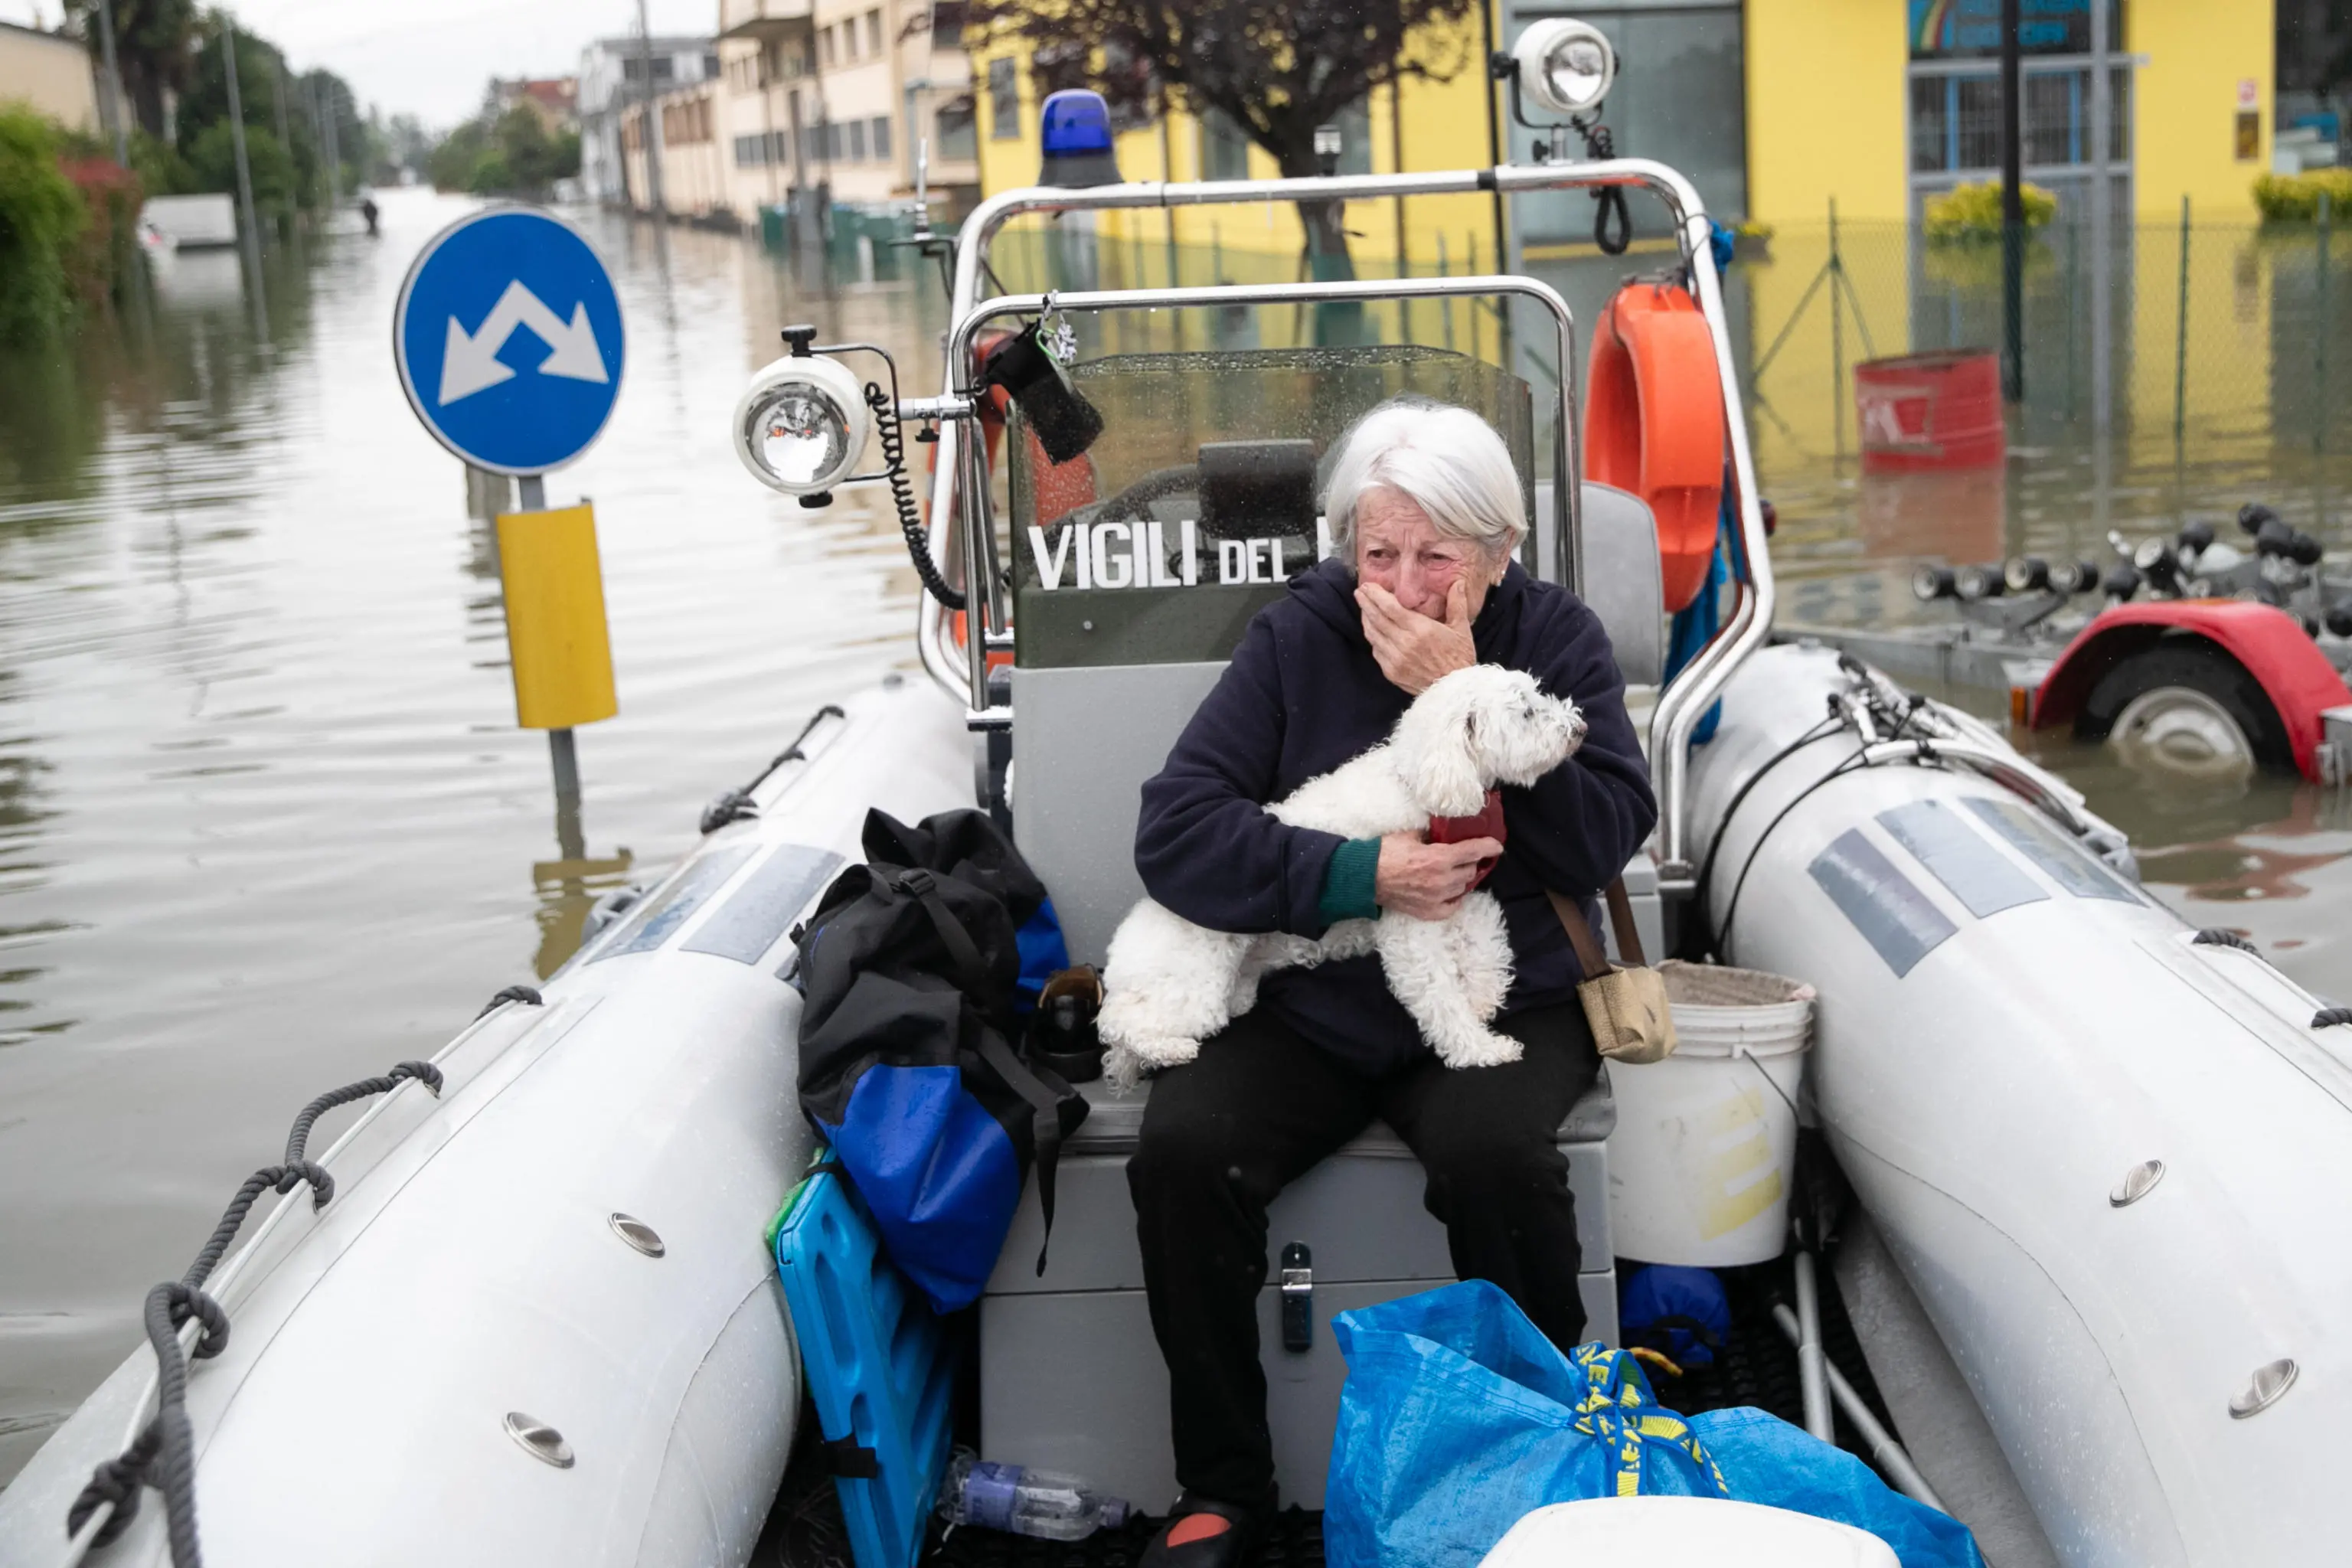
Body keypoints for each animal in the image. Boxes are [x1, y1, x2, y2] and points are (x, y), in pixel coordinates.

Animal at [1096, 668, 1580, 1090]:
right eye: (1526, 712)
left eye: (1537, 697)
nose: (1580, 727)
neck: (1420, 783)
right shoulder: (1413, 922)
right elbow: (1439, 996)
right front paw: (1480, 1049)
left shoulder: (1461, 892)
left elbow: (1486, 941)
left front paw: (1481, 998)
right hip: (1191, 983)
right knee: (1118, 1022)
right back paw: (1169, 1049)